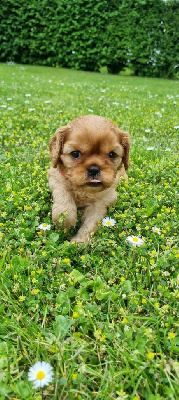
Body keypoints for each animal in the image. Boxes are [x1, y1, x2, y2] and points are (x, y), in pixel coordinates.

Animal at [46, 114, 129, 242]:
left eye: (112, 154)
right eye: (75, 154)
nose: (94, 169)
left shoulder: (101, 203)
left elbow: (90, 224)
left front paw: (79, 242)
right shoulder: (55, 177)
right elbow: (64, 197)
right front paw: (64, 221)